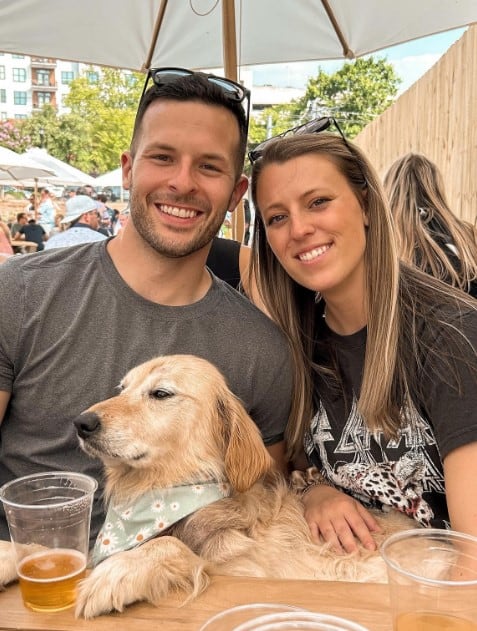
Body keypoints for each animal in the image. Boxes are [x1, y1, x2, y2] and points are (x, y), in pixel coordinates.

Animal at [0, 358, 412, 620]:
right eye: (123, 388)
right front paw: (10, 555)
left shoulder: (249, 572)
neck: (162, 493)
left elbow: (174, 547)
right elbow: (53, 548)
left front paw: (116, 572)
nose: (81, 423)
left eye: (161, 393)